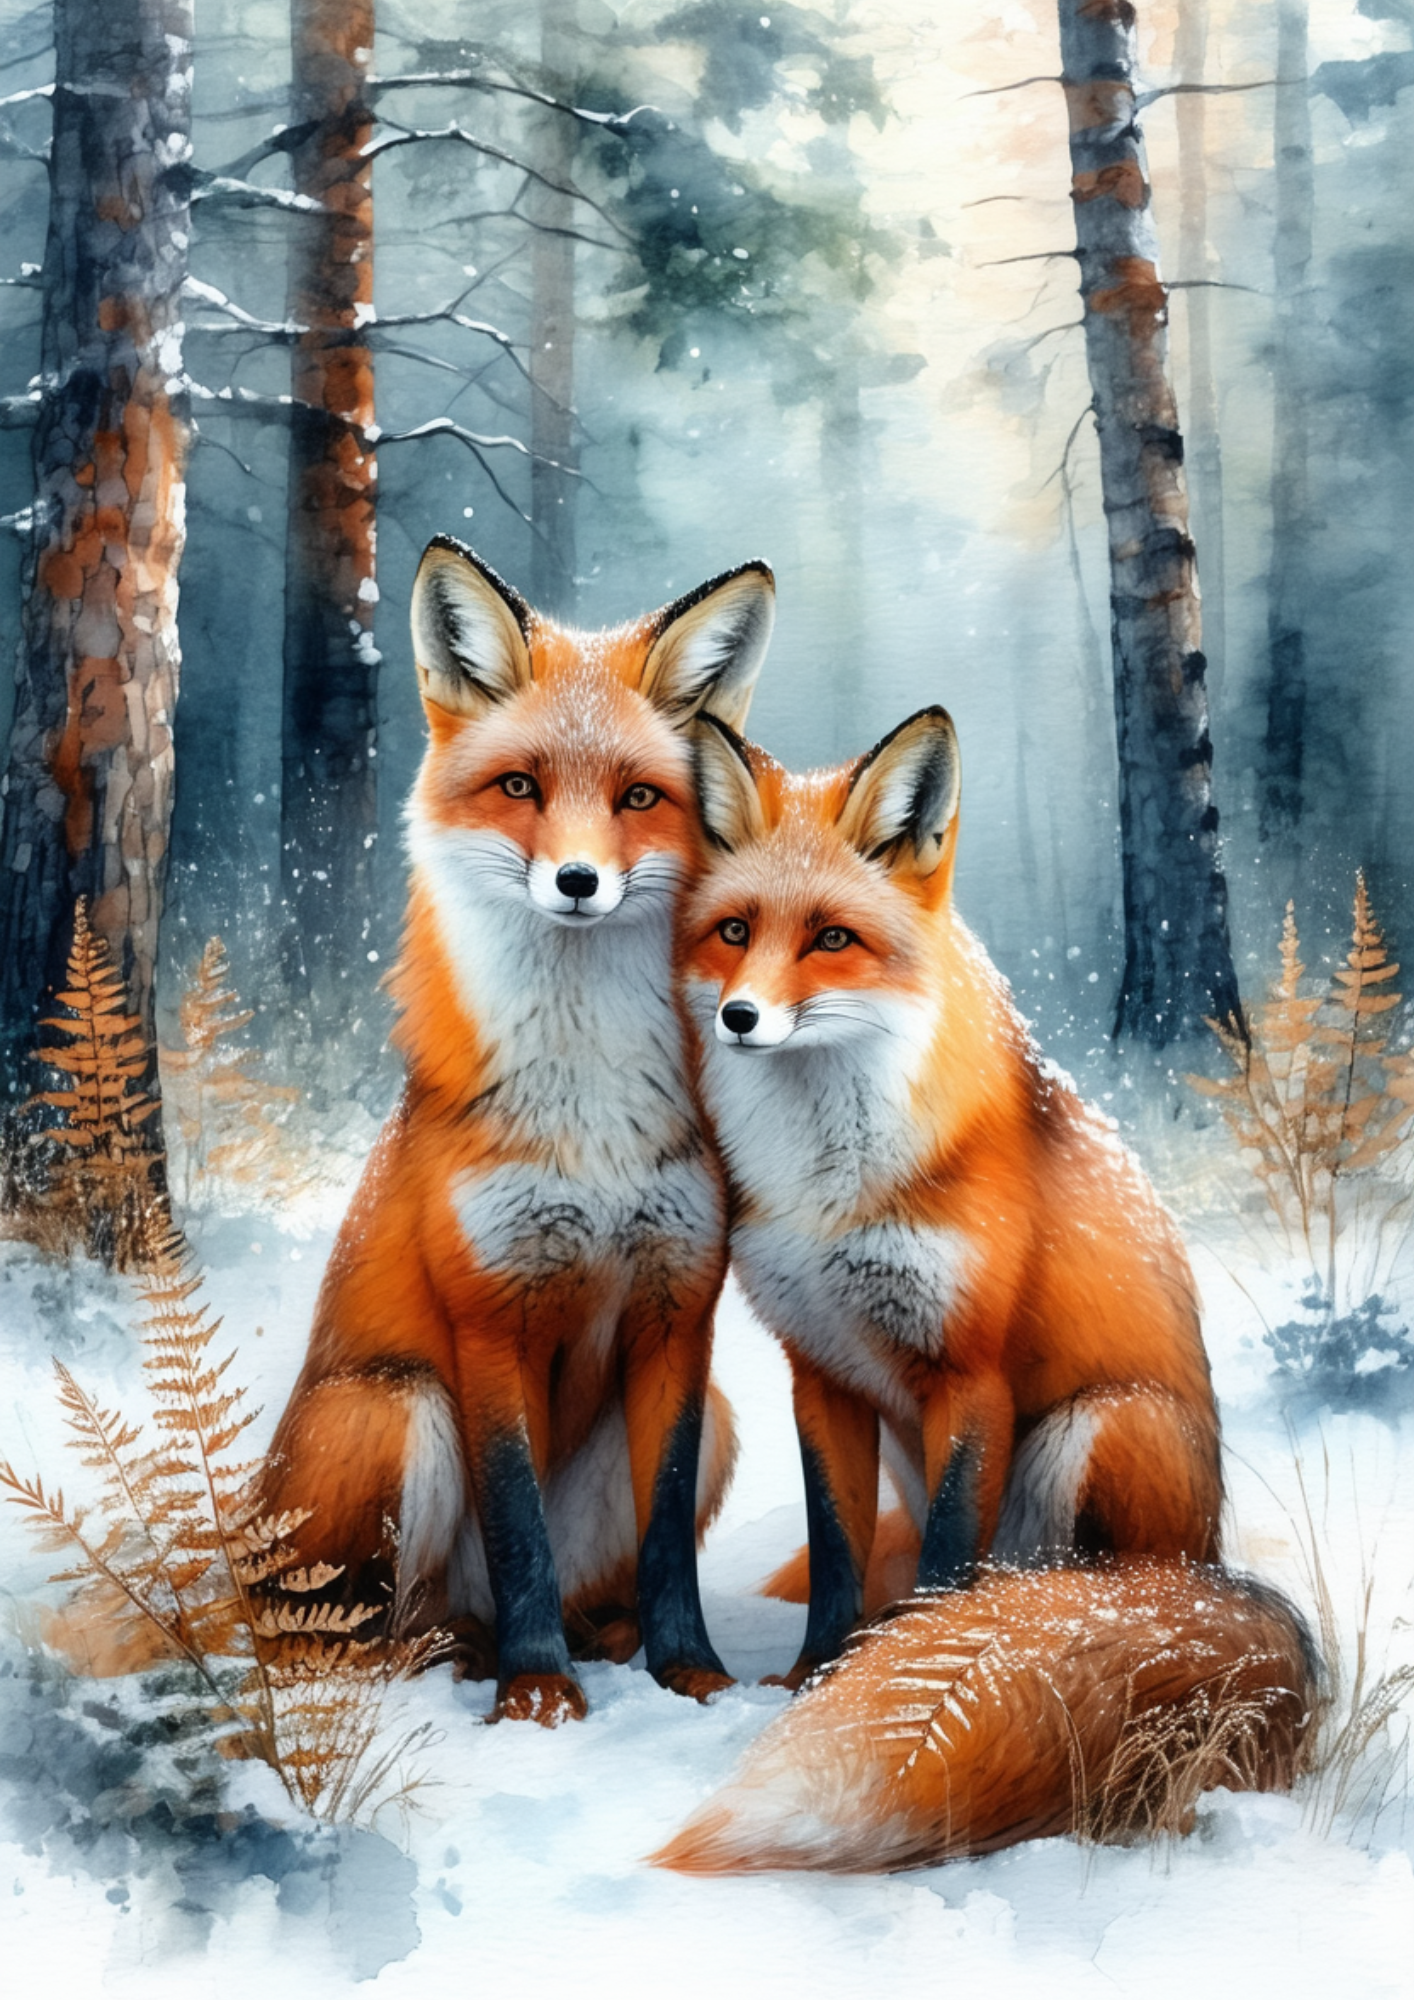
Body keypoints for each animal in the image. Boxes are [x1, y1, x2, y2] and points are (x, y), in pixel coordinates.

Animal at [258, 536, 776, 1725]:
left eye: (638, 796)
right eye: (521, 788)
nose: (578, 880)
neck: (589, 1116)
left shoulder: (679, 1316)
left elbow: (667, 1538)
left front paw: (690, 1671)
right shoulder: (490, 1313)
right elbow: (517, 1522)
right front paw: (537, 1693)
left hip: (722, 1414)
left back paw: (595, 1643)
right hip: (393, 1406)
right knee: (339, 1636)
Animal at [679, 705, 1224, 1691]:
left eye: (831, 939)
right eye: (734, 931)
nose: (739, 1018)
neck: (830, 1186)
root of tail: (1217, 1548)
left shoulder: (972, 1377)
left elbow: (944, 1552)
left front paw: (905, 1661)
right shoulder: (820, 1372)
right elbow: (837, 1549)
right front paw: (815, 1670)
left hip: (1100, 1425)